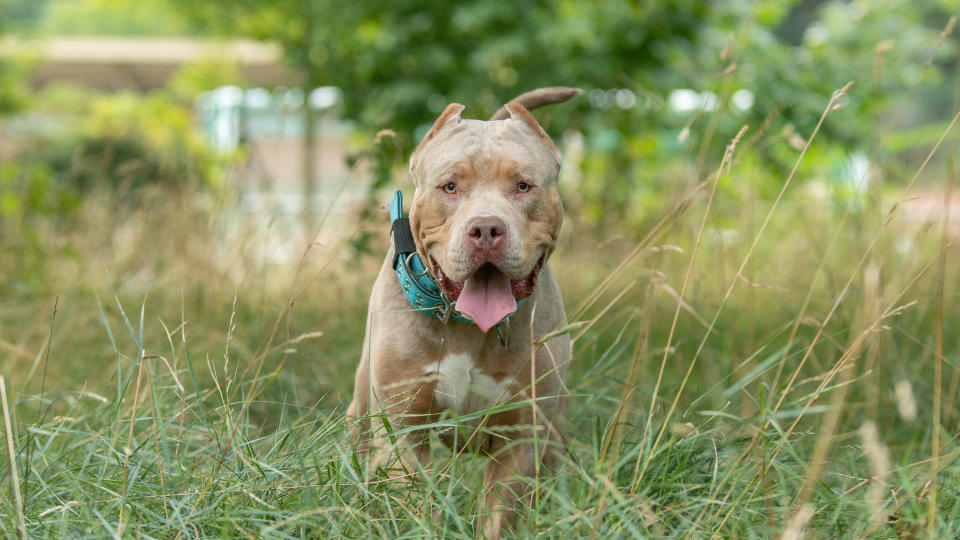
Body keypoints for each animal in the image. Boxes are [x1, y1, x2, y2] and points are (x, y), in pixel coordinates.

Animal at [348, 86, 580, 536]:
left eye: (523, 186)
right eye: (450, 186)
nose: (486, 228)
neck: (468, 325)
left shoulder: (521, 438)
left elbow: (500, 515)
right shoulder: (405, 427)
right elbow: (414, 500)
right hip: (364, 407)